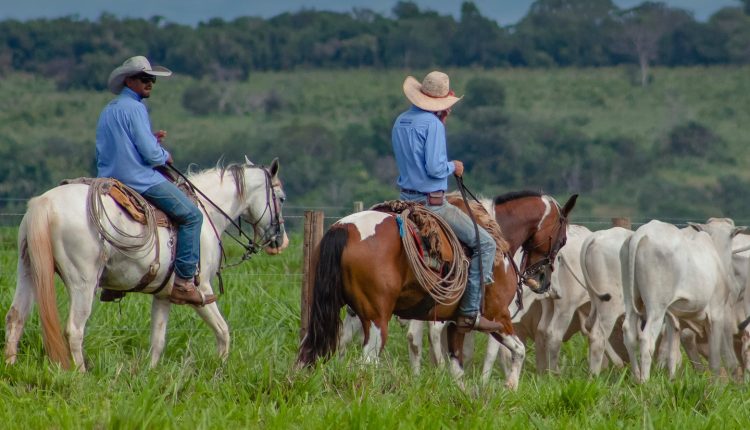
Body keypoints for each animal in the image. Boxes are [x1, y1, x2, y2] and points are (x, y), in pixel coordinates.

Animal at [4, 157, 290, 370]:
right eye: (282, 198)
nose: (281, 242)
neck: (208, 213)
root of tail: (45, 203)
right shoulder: (202, 289)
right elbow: (223, 331)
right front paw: (219, 369)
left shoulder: (163, 294)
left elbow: (158, 340)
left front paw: (150, 374)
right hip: (82, 283)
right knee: (74, 329)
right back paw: (81, 374)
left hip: (29, 270)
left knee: (16, 317)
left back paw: (10, 366)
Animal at [296, 191, 580, 390]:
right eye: (563, 239)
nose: (542, 280)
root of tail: (342, 228)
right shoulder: (498, 316)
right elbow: (518, 350)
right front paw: (510, 386)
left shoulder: (458, 323)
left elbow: (458, 368)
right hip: (377, 319)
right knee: (367, 361)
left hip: (338, 312)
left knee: (320, 348)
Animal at [620, 220, 744, 382]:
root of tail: (641, 233)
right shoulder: (716, 315)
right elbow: (715, 361)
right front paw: (716, 384)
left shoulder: (672, 317)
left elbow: (673, 353)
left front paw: (672, 380)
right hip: (656, 307)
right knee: (646, 339)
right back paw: (644, 381)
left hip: (631, 299)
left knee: (629, 333)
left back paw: (636, 377)